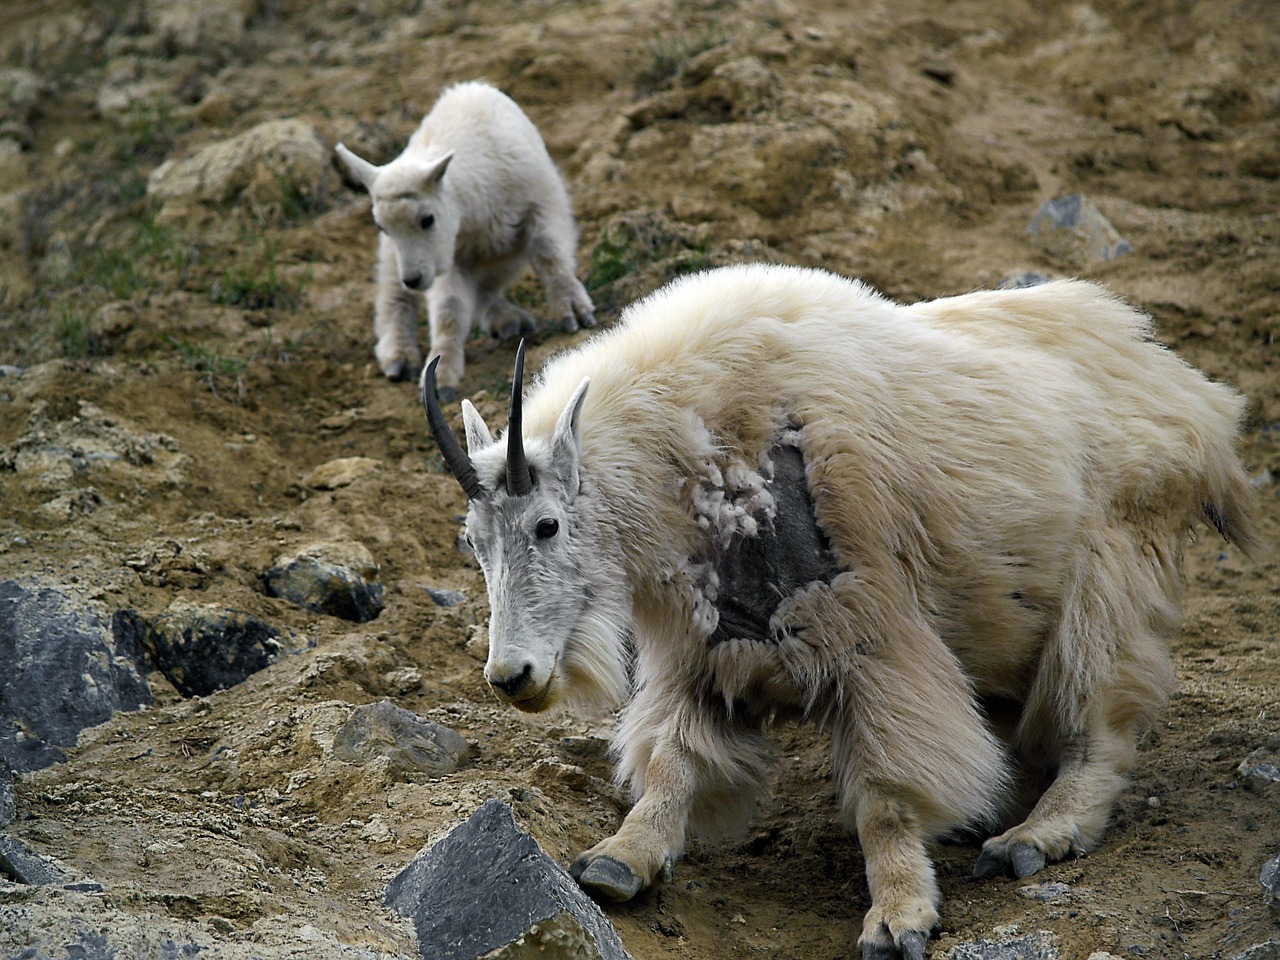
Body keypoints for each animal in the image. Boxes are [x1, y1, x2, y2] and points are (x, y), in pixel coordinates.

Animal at [330, 82, 588, 389]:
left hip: (503, 256)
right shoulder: (449, 256)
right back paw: (400, 355)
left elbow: (549, 252)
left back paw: (508, 320)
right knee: (394, 294)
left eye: (427, 219)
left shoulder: (543, 204)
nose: (414, 279)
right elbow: (449, 308)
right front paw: (441, 374)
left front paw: (574, 310)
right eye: (383, 227)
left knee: (485, 289)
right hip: (403, 259)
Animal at [419, 263, 1249, 960]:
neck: (714, 453)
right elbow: (674, 763)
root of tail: (1193, 398)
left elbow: (885, 797)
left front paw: (898, 918)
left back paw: (1034, 835)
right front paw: (618, 862)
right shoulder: (705, 653)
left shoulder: (874, 641)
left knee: (1099, 720)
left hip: (1111, 574)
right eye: (473, 540)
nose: (512, 676)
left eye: (547, 524)